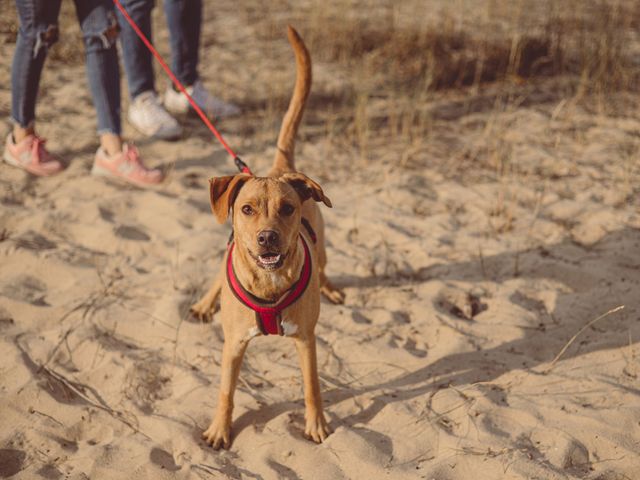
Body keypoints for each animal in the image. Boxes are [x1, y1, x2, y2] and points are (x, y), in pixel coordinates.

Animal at [191, 27, 344, 450]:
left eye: (287, 209)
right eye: (247, 209)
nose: (267, 238)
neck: (269, 281)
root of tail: (280, 167)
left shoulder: (306, 340)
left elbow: (312, 387)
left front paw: (316, 424)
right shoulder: (233, 346)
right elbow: (226, 391)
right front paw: (219, 429)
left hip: (322, 246)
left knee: (324, 265)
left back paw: (330, 287)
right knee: (216, 272)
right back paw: (204, 302)